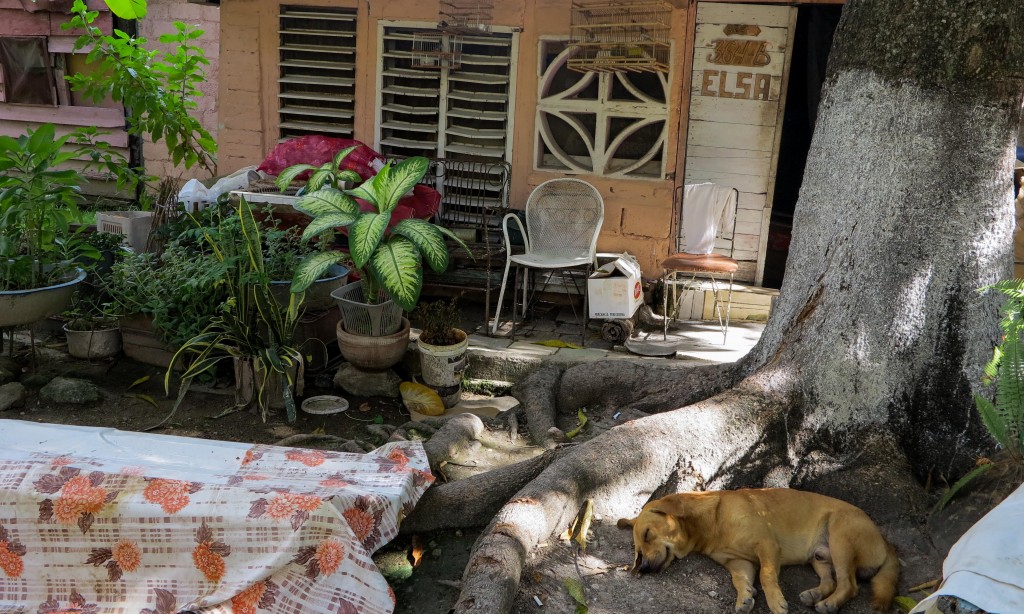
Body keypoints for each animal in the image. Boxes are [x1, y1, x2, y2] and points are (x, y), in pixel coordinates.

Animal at [614, 489, 897, 614]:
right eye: (637, 555)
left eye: (647, 534)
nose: (644, 569)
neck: (711, 525)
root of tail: (886, 542)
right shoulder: (739, 563)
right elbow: (740, 581)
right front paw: (745, 597)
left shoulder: (767, 546)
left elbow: (766, 576)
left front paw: (775, 602)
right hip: (820, 556)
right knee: (832, 580)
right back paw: (815, 594)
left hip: (840, 540)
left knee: (850, 585)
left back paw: (829, 604)